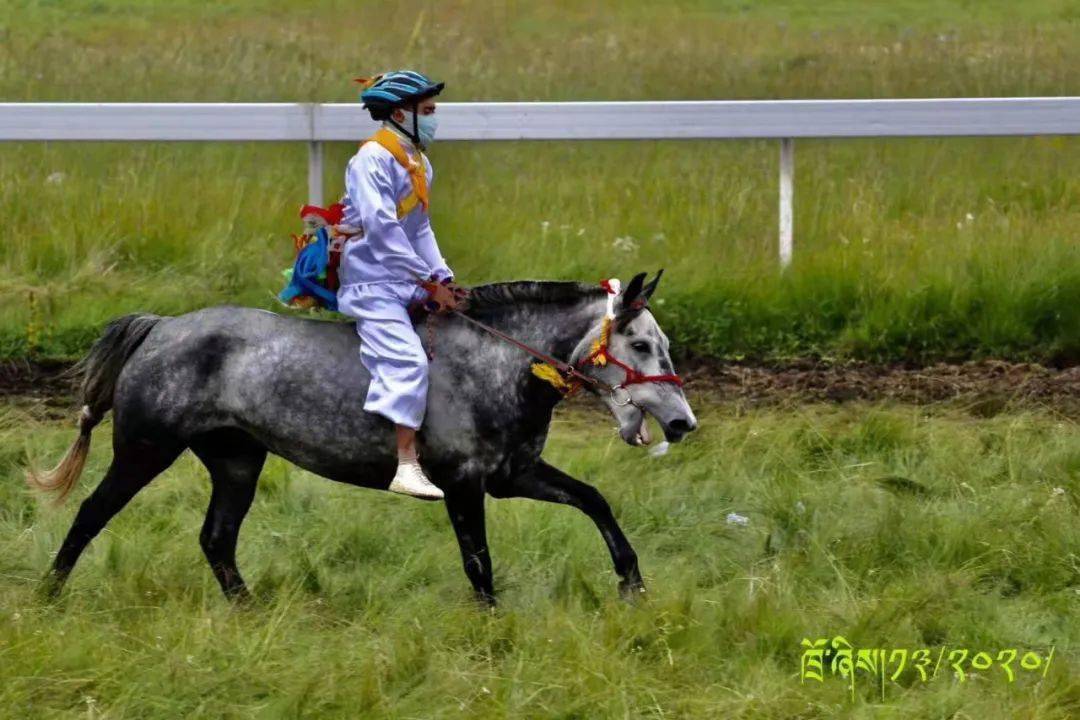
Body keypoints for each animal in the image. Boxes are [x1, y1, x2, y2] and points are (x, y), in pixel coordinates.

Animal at [29, 269, 699, 604]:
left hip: (236, 462)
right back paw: (47, 595)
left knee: (216, 539)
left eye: (659, 341)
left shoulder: (512, 476)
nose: (683, 422)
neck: (495, 366)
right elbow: (478, 561)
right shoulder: (463, 485)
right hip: (144, 451)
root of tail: (162, 327)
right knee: (90, 513)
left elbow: (594, 500)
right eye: (641, 343)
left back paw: (250, 609)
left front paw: (632, 582)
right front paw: (491, 624)